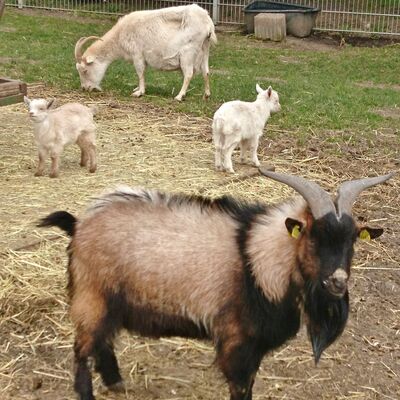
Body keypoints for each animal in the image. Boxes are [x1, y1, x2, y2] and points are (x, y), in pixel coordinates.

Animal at [39, 170, 396, 400]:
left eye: (353, 239)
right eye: (313, 236)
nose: (337, 282)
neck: (256, 260)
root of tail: (78, 225)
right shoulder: (237, 343)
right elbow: (241, 389)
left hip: (108, 302)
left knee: (102, 342)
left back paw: (116, 382)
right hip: (91, 296)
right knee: (83, 350)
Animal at [75, 4, 219, 101]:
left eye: (85, 70)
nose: (85, 88)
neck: (120, 34)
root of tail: (208, 23)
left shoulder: (137, 54)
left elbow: (140, 72)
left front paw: (139, 92)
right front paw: (137, 89)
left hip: (188, 52)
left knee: (189, 73)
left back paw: (179, 96)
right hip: (205, 48)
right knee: (206, 71)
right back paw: (206, 95)